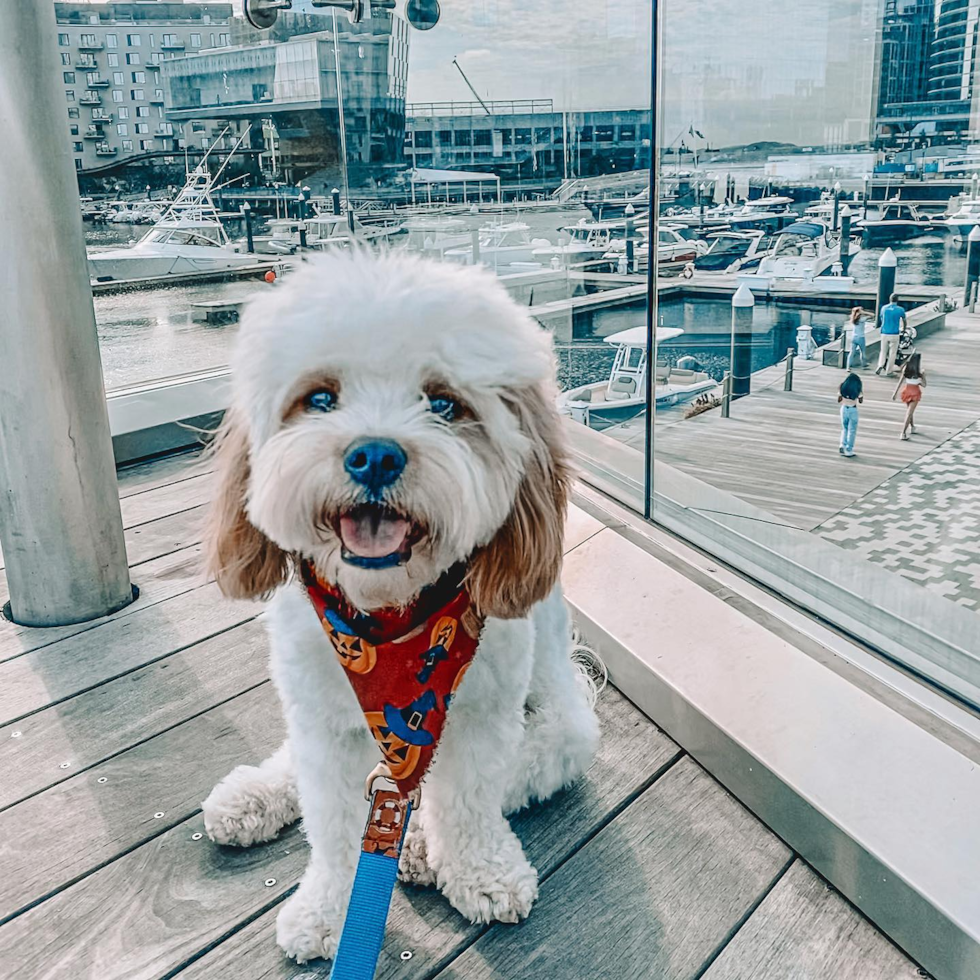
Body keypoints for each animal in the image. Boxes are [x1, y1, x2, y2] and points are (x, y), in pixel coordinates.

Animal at [204, 253, 600, 964]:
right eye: (320, 398)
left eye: (444, 403)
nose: (375, 454)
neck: (391, 620)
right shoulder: (323, 720)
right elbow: (333, 824)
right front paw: (328, 911)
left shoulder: (482, 714)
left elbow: (469, 798)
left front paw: (481, 873)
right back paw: (251, 798)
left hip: (561, 719)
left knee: (518, 768)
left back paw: (415, 845)